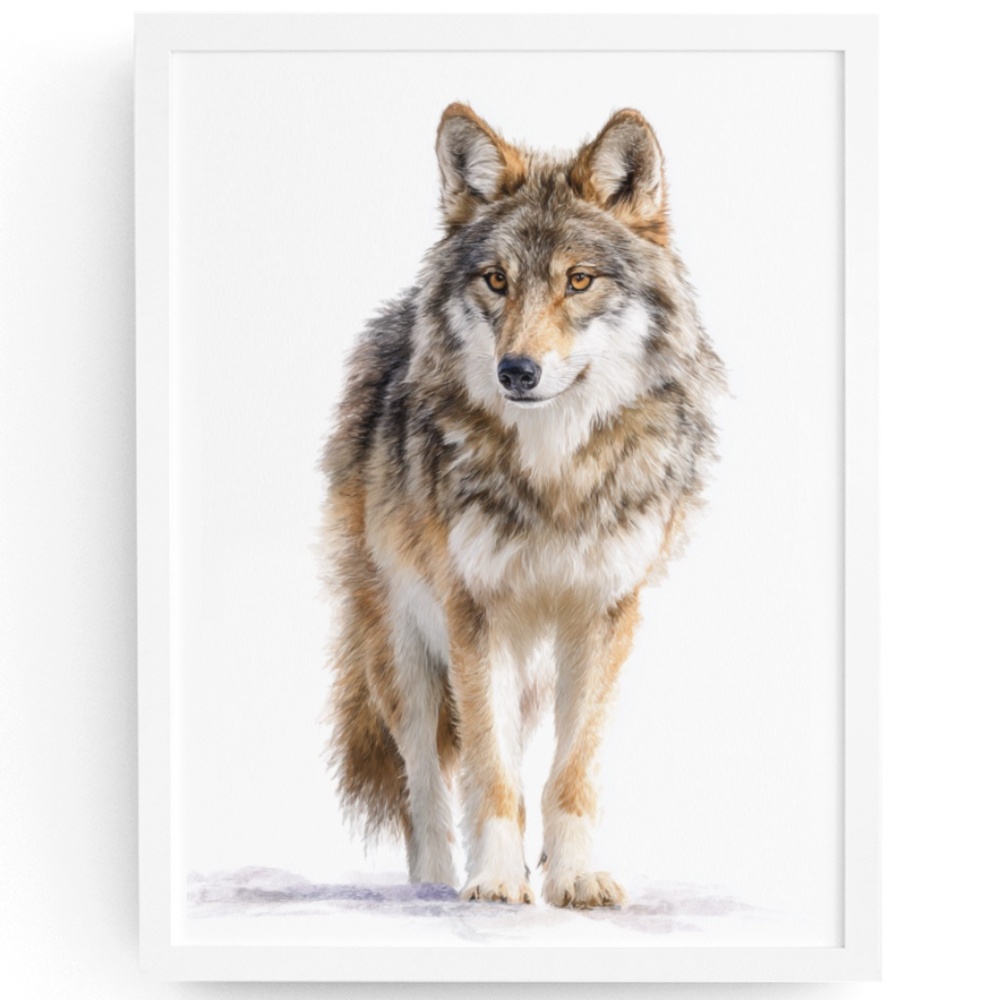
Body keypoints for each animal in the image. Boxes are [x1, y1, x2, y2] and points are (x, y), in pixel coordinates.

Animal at [321, 104, 724, 908]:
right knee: (424, 785)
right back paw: (432, 885)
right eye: (497, 280)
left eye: (578, 280)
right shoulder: (473, 613)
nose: (517, 371)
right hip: (402, 654)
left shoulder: (605, 614)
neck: (554, 472)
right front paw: (498, 881)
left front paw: (576, 879)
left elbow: (572, 770)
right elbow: (490, 771)